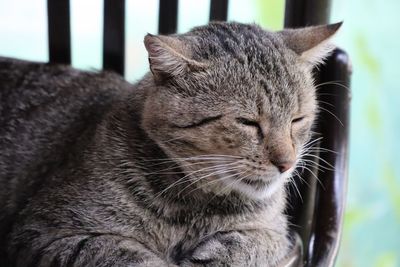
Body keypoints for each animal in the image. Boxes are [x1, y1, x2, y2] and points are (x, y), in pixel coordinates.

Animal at [0, 21, 340, 267]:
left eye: (297, 119)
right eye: (248, 122)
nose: (286, 163)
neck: (199, 208)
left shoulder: (275, 234)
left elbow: (244, 246)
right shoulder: (42, 233)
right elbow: (125, 255)